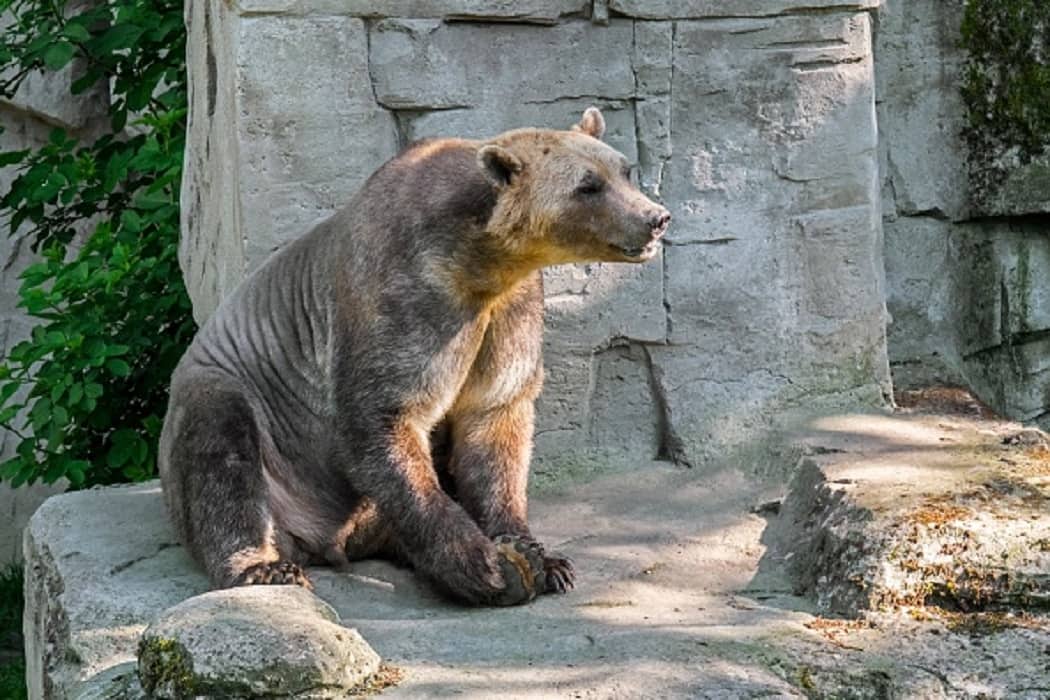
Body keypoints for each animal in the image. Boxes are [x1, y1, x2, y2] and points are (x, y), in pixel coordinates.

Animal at [158, 107, 671, 606]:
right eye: (588, 185)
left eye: (623, 169)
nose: (656, 217)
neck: (480, 260)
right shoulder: (409, 299)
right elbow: (387, 418)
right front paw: (484, 565)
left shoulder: (510, 310)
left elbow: (495, 420)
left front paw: (540, 556)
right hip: (244, 409)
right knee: (222, 454)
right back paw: (263, 565)